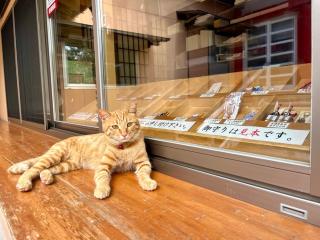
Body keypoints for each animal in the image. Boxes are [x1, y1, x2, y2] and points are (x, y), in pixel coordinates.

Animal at [7, 103, 158, 199]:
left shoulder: (143, 163)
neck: (124, 147)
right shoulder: (103, 166)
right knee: (33, 168)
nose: (124, 134)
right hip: (54, 156)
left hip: (67, 164)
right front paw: (102, 189)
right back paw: (23, 182)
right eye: (115, 126)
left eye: (129, 124)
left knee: (46, 169)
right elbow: (102, 178)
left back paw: (46, 176)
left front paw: (147, 182)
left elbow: (144, 173)